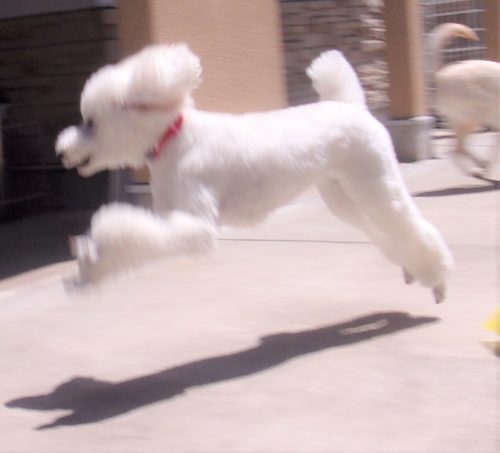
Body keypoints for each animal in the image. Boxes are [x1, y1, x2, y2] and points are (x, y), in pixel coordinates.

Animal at [56, 44, 453, 302]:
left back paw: (436, 277)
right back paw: (414, 269)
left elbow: (129, 233)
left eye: (91, 122)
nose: (62, 150)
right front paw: (89, 269)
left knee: (406, 224)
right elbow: (139, 237)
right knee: (385, 231)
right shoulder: (169, 216)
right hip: (344, 194)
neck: (174, 139)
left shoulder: (196, 224)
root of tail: (349, 105)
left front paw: (97, 249)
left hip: (372, 180)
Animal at [429, 23, 500, 178]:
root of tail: (442, 74)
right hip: (474, 116)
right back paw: (477, 169)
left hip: (467, 121)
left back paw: (480, 166)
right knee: (457, 150)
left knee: (457, 148)